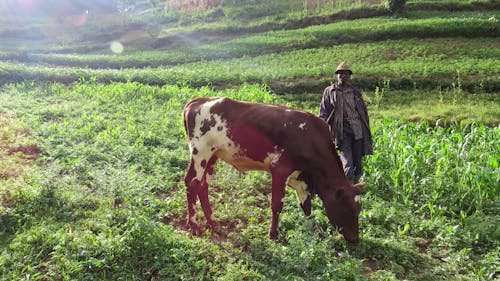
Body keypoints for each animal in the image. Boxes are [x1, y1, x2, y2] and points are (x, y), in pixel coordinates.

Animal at [182, 96, 366, 241]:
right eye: (348, 209)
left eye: (358, 209)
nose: (355, 239)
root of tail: (199, 100)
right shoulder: (279, 169)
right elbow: (277, 204)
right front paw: (273, 233)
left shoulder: (301, 179)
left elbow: (306, 207)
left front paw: (312, 231)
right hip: (201, 152)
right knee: (192, 183)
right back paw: (195, 226)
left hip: (213, 155)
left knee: (203, 186)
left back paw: (213, 222)